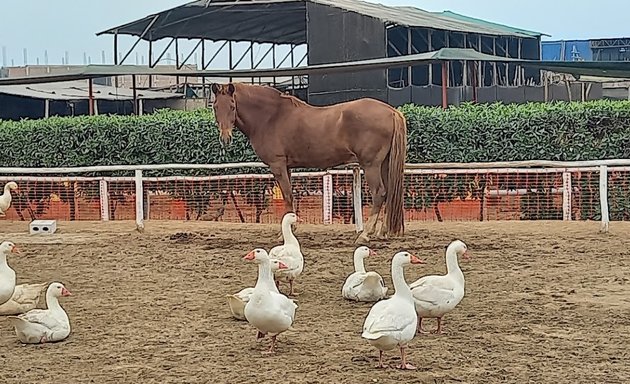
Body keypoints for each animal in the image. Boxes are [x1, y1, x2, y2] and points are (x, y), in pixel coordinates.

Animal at [210, 83, 408, 244]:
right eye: (215, 107)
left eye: (232, 106)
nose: (225, 139)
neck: (271, 117)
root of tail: (392, 112)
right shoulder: (287, 168)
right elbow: (289, 197)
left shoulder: (278, 165)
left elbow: (288, 196)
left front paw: (283, 234)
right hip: (384, 164)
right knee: (390, 192)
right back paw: (382, 232)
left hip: (371, 165)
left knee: (379, 193)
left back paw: (365, 234)